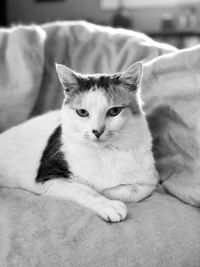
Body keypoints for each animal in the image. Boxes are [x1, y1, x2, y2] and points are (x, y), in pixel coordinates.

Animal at [0, 62, 158, 222]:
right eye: (82, 112)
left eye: (114, 111)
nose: (97, 131)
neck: (103, 153)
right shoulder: (50, 178)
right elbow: (85, 190)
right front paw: (109, 205)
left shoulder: (151, 179)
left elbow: (134, 191)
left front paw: (108, 191)